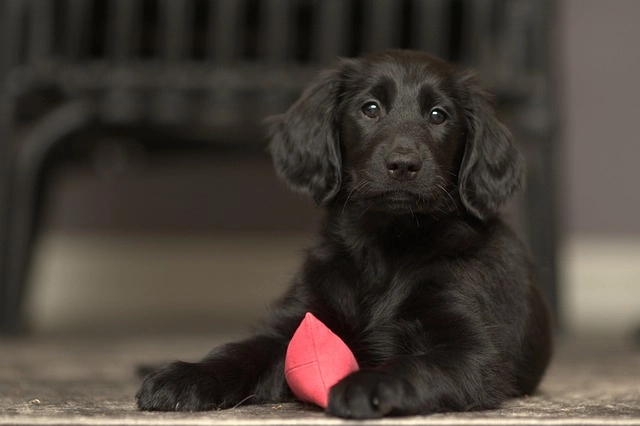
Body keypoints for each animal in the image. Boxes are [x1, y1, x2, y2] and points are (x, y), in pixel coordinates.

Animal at [136, 50, 556, 420]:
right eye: (370, 108)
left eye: (439, 116)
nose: (404, 164)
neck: (384, 249)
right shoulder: (298, 319)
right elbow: (242, 350)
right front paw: (187, 376)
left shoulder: (473, 353)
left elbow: (415, 366)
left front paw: (366, 385)